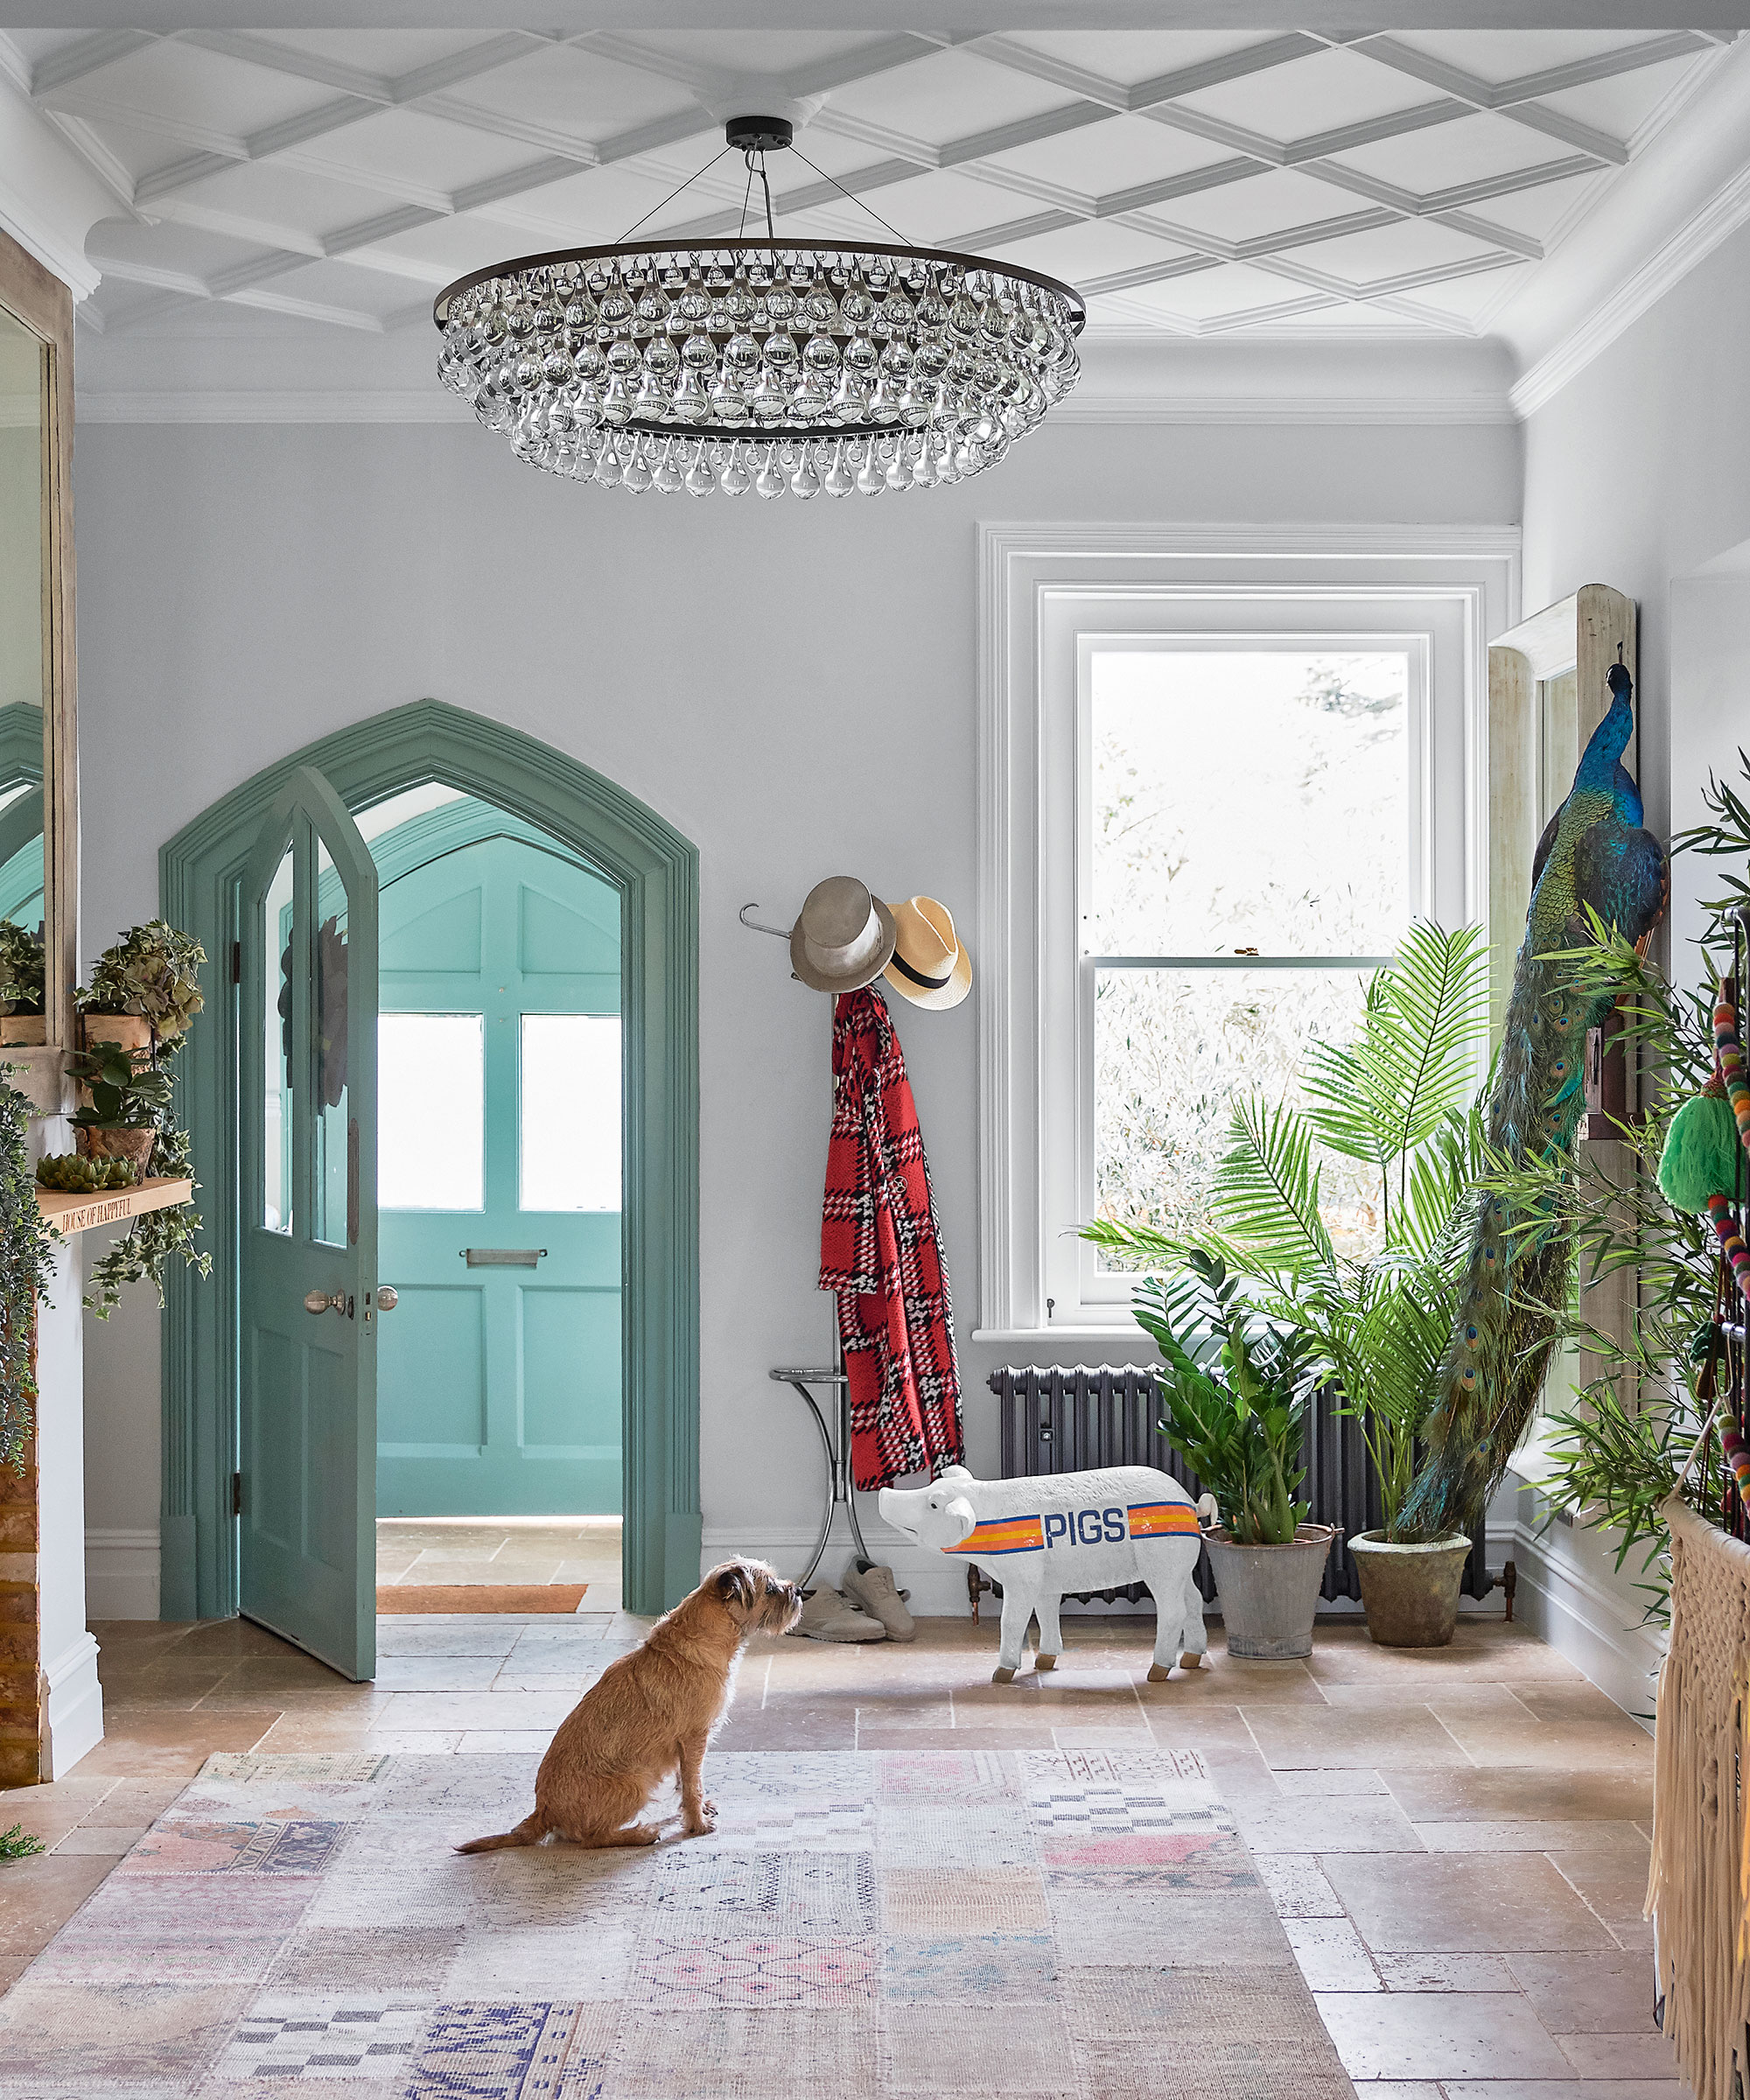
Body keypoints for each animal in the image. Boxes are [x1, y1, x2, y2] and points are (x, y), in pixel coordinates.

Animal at [453, 1554, 802, 1848]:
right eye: (771, 1588)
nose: (799, 1590)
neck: (703, 1637)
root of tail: (544, 1811)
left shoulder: (686, 1746)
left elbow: (686, 1781)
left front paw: (700, 1810)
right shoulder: (694, 1738)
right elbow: (693, 1784)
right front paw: (698, 1824)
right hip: (636, 1782)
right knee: (591, 1839)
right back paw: (640, 1834)